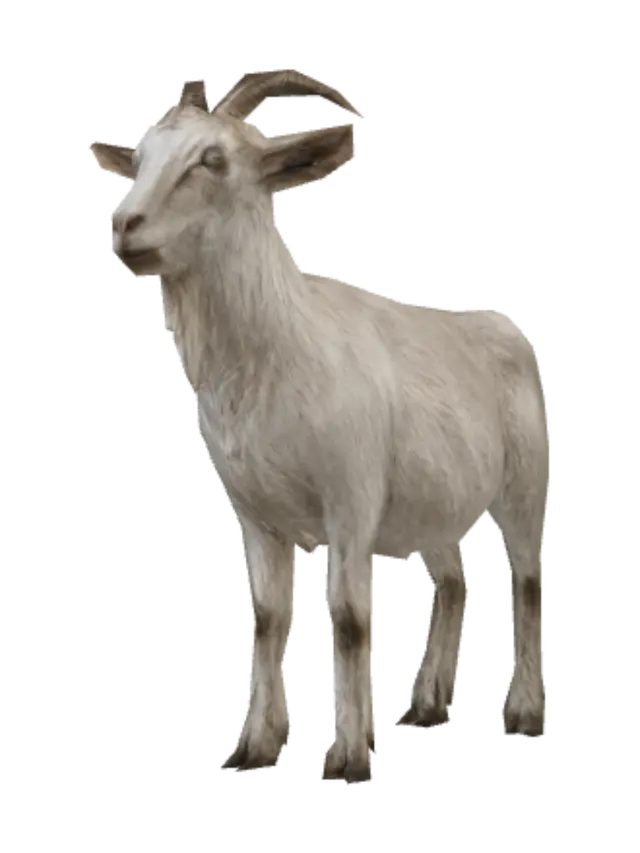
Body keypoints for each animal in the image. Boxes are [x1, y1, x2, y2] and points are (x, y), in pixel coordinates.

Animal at [89, 69, 549, 783]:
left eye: (213, 159)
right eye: (137, 160)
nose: (123, 227)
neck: (280, 348)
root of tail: (504, 328)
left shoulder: (351, 501)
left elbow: (354, 621)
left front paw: (349, 760)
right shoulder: (255, 512)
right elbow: (267, 616)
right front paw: (253, 750)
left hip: (523, 487)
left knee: (526, 583)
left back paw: (524, 715)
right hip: (431, 505)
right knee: (452, 581)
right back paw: (426, 706)